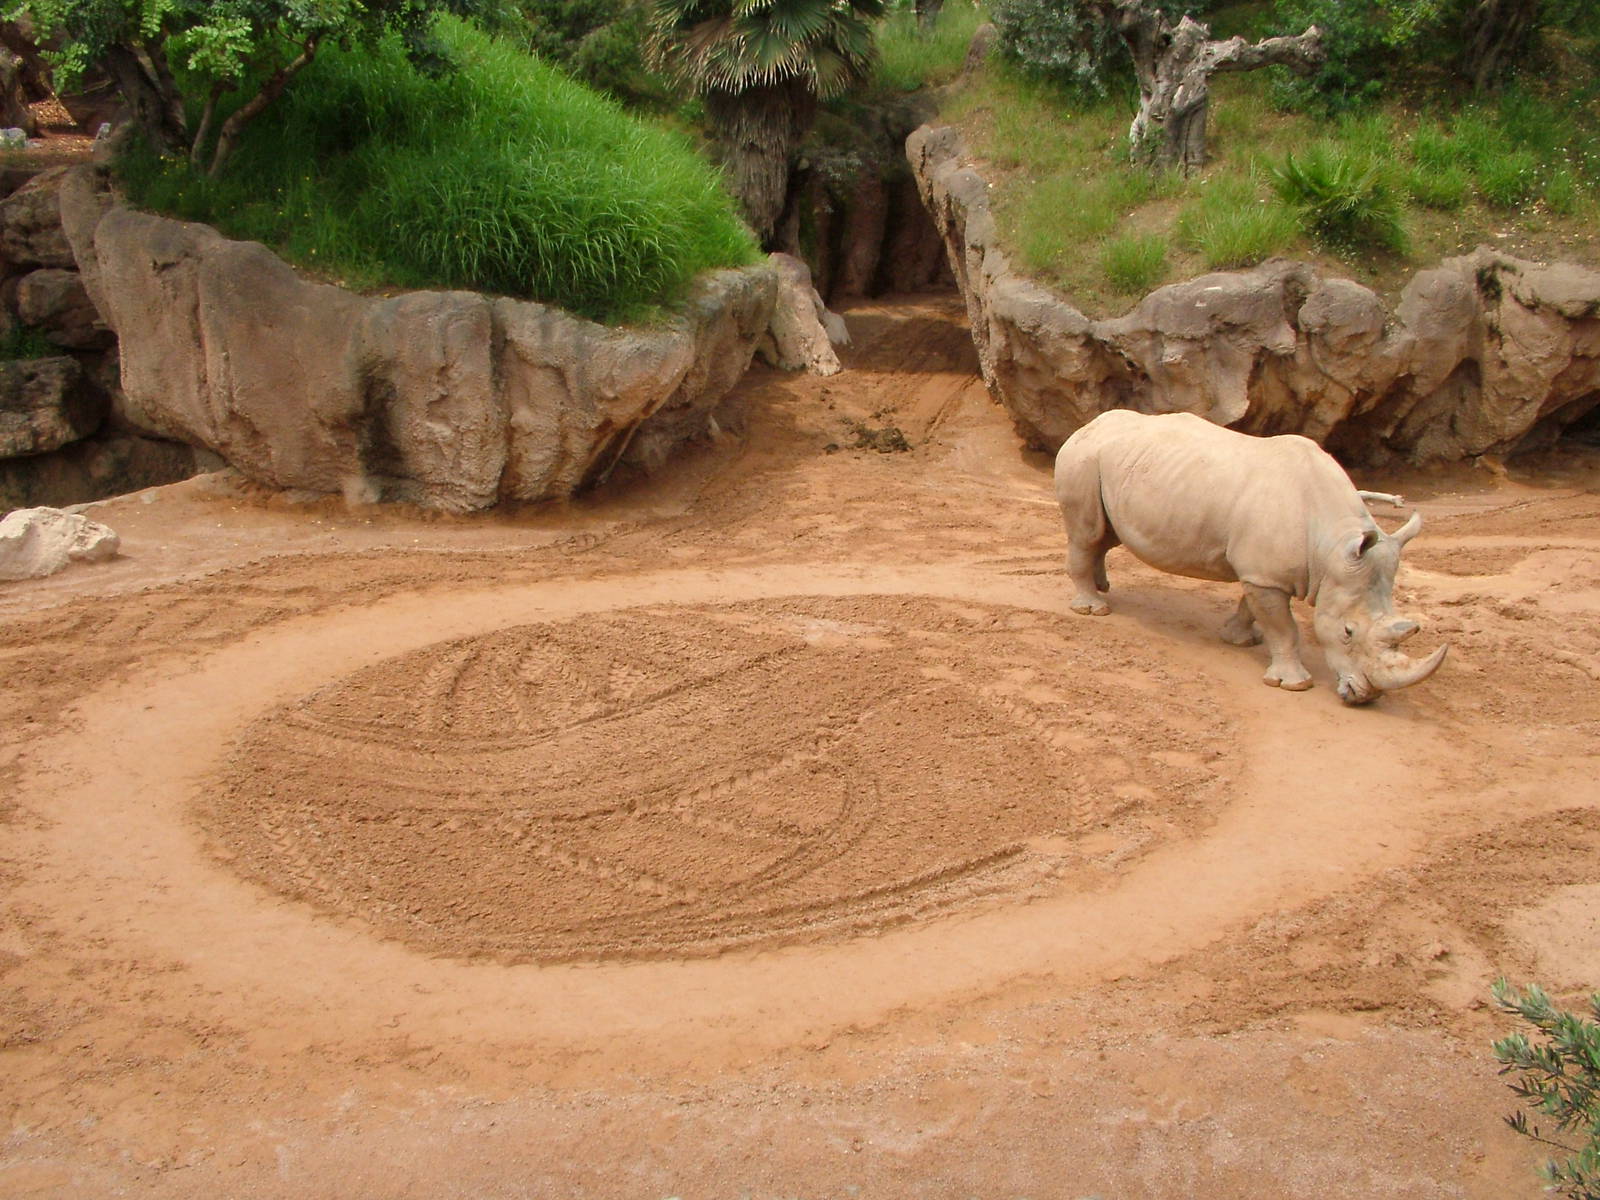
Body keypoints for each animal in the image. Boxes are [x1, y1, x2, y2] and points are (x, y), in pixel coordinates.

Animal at [1054, 410, 1447, 704]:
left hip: (1115, 464)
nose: (1365, 697)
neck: (1331, 546)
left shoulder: (1260, 572)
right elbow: (1284, 628)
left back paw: (1103, 587)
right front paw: (1293, 684)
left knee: (1106, 535)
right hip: (1083, 460)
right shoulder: (1265, 576)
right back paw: (1093, 609)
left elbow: (1252, 607)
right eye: (1347, 632)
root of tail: (1088, 425)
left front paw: (1239, 639)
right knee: (1087, 534)